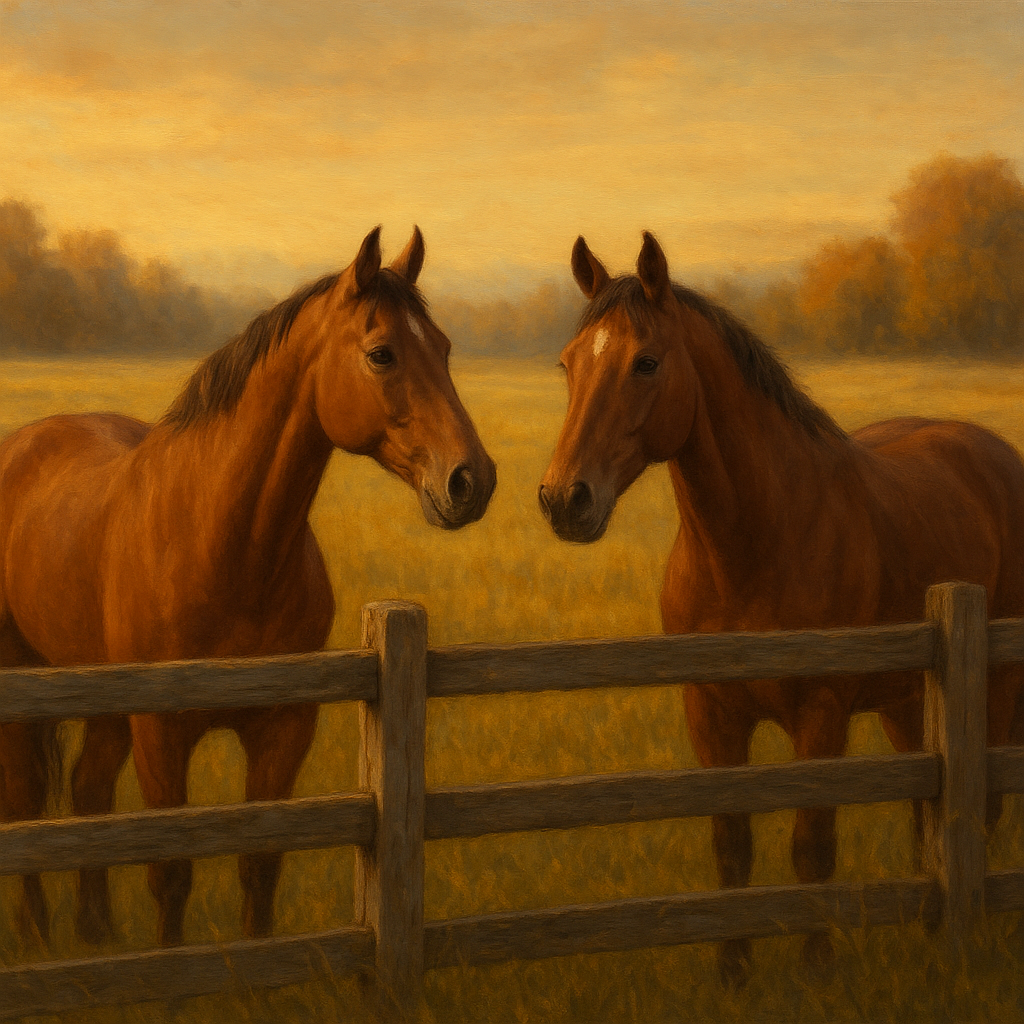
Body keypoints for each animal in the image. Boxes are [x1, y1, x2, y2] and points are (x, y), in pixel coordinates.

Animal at [0, 226, 496, 948]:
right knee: (26, 804)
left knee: (90, 794)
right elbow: (171, 871)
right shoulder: (162, 733)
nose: (471, 480)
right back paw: (37, 935)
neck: (221, 545)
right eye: (381, 353)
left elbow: (260, 863)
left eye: (446, 347)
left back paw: (97, 935)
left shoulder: (282, 728)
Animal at [539, 231, 1024, 984]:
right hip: (907, 700)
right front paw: (733, 975)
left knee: (985, 807)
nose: (566, 499)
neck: (759, 541)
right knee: (927, 806)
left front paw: (818, 971)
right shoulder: (712, 713)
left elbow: (811, 843)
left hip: (995, 688)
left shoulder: (820, 713)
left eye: (646, 362)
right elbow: (732, 843)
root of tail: (992, 451)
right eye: (569, 363)